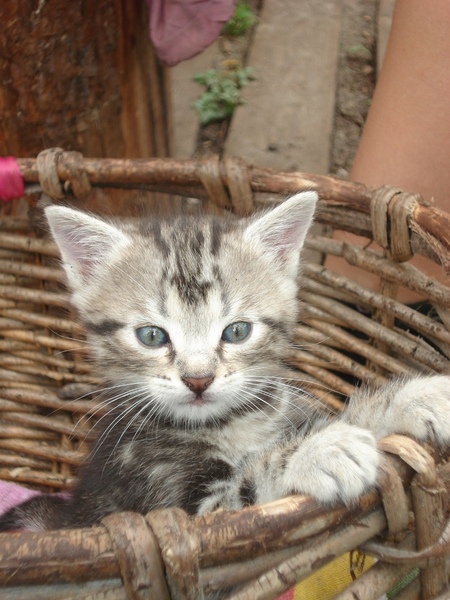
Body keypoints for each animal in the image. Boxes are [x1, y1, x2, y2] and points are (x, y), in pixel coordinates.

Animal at [0, 191, 450, 528]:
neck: (229, 425)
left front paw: (418, 398)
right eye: (151, 336)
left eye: (237, 331)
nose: (198, 380)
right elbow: (249, 484)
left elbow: (354, 413)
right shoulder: (177, 502)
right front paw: (321, 451)